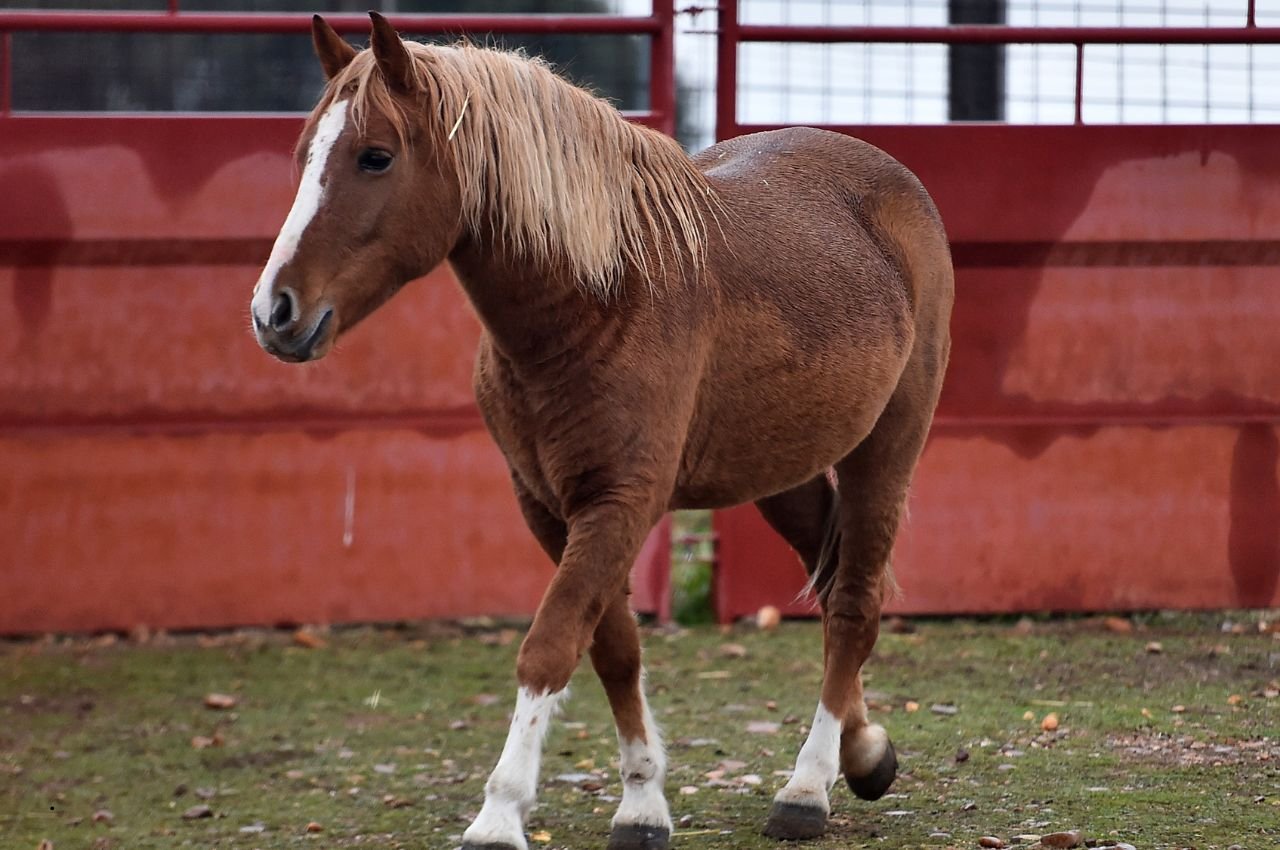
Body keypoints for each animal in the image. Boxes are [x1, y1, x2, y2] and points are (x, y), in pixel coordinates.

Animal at [250, 13, 952, 849]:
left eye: (375, 156)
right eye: (305, 155)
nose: (274, 312)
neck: (601, 296)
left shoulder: (620, 503)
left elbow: (549, 646)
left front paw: (500, 814)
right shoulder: (550, 507)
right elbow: (613, 648)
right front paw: (642, 801)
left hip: (887, 451)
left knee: (851, 606)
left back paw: (807, 787)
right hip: (782, 471)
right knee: (834, 577)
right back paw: (865, 751)